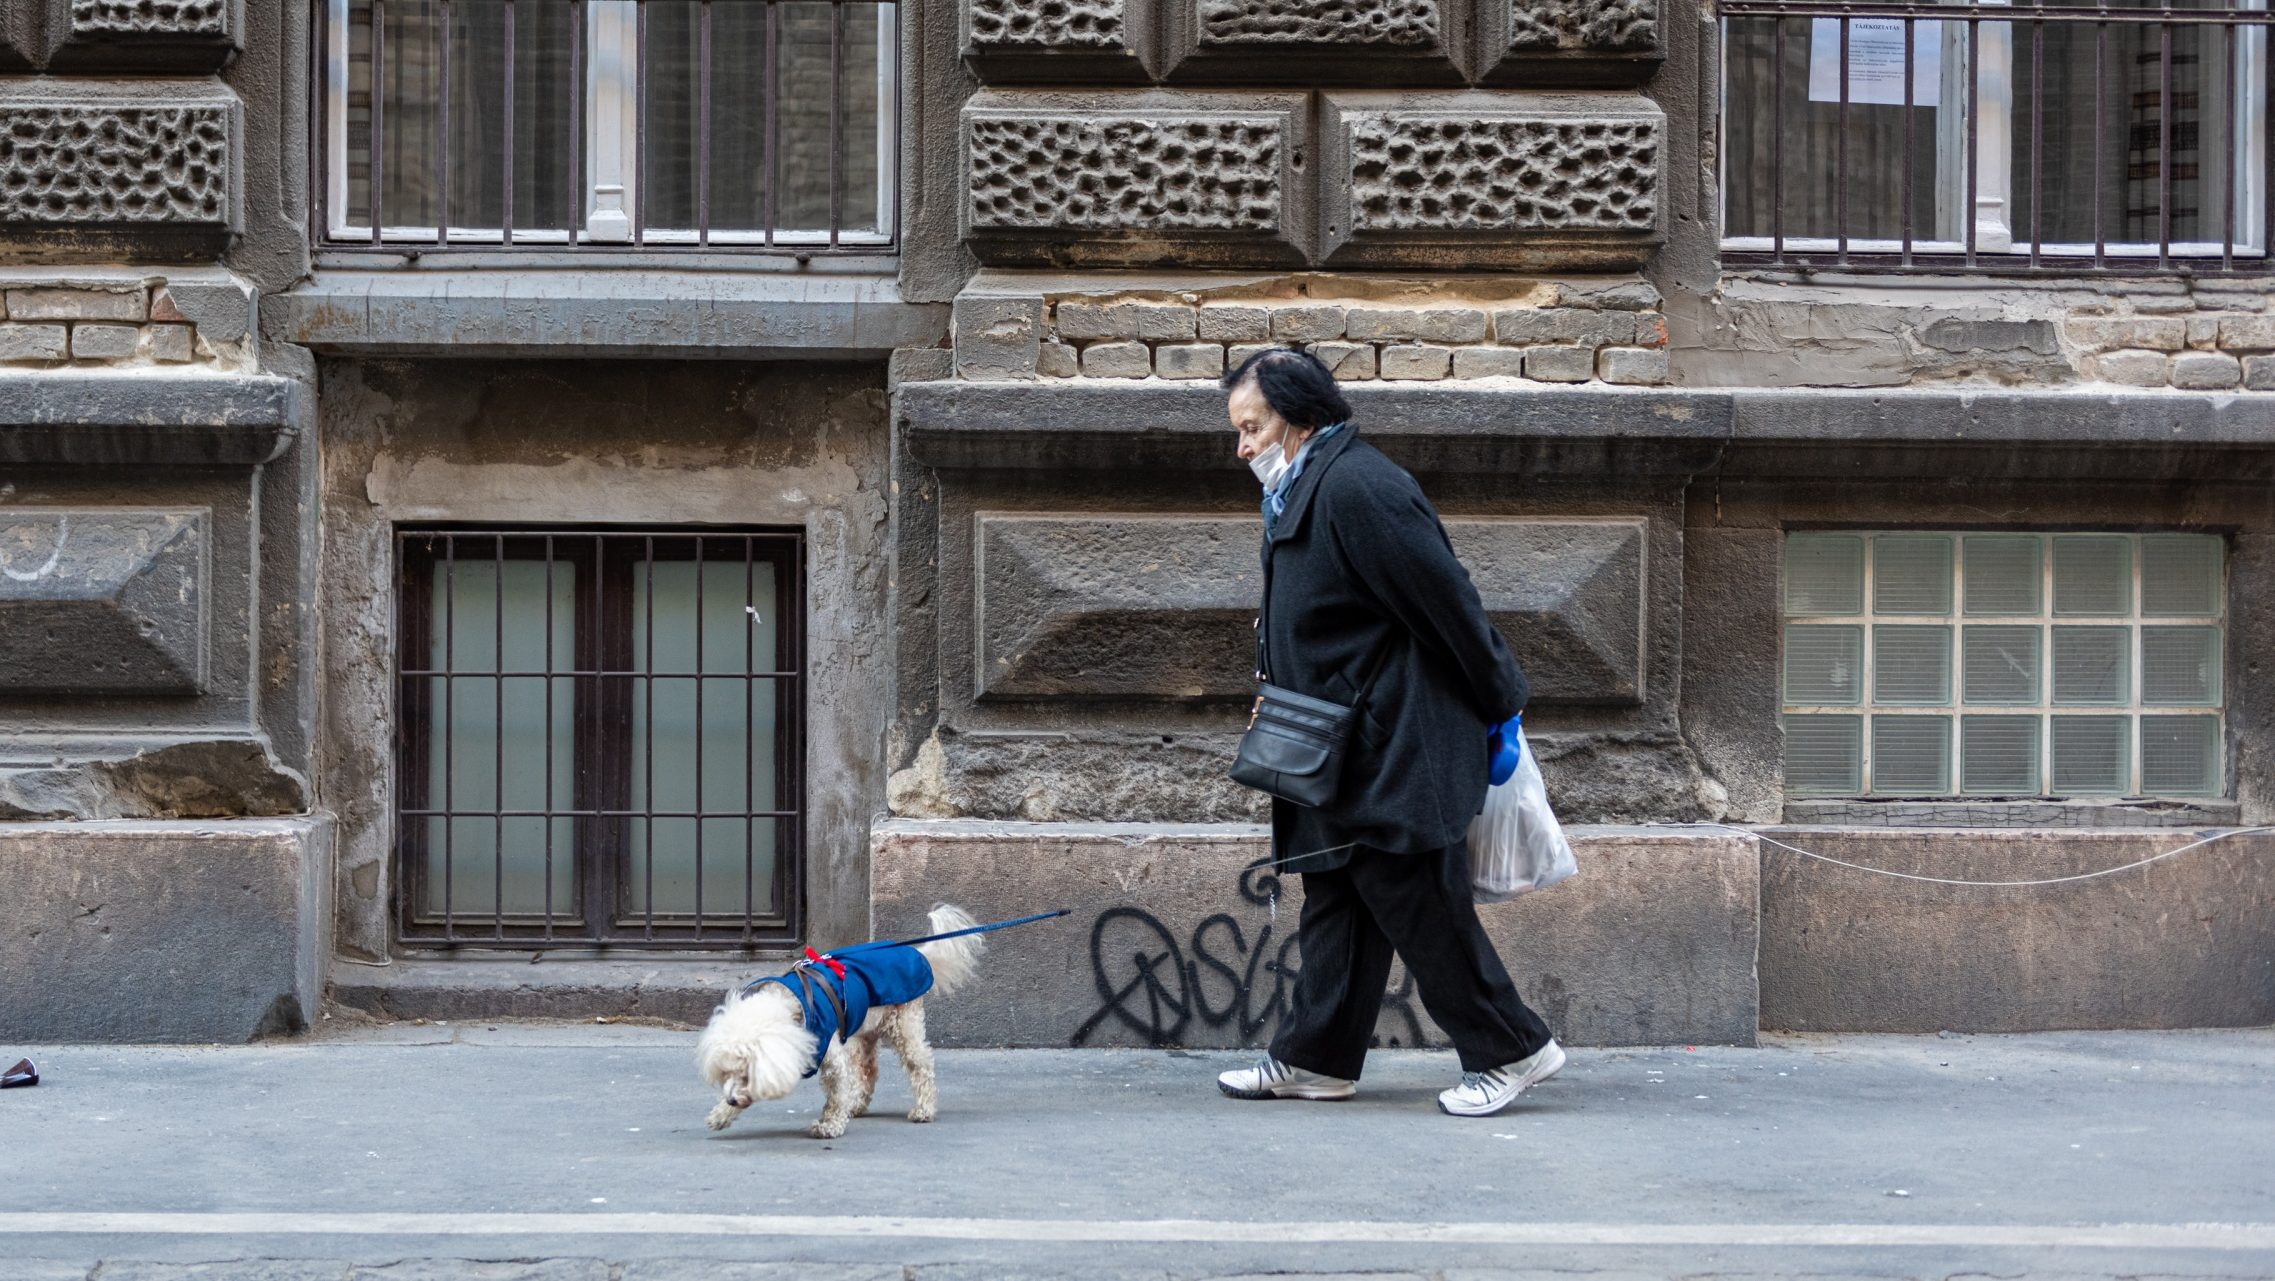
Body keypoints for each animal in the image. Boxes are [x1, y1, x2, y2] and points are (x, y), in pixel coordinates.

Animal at [687, 901, 982, 1142]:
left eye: (747, 1073)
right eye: (725, 1072)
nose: (730, 1099)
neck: (792, 1005)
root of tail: (915, 953)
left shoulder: (830, 1057)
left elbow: (835, 1092)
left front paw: (829, 1125)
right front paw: (721, 1114)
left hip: (904, 1027)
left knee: (921, 1068)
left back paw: (923, 1109)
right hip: (862, 1033)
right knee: (868, 1071)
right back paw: (857, 1104)